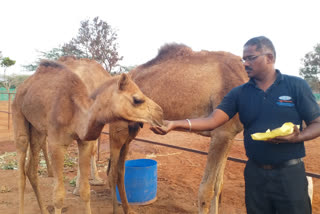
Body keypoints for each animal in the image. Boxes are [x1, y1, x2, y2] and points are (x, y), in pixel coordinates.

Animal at [12, 59, 162, 214]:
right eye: (137, 99)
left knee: (31, 169)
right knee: (21, 171)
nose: (160, 113)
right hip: (18, 113)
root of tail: (23, 86)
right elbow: (58, 196)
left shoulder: (84, 142)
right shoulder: (56, 145)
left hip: (37, 130)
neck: (75, 113)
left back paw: (43, 210)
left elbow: (85, 191)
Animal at [109, 44, 249, 214]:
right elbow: (206, 190)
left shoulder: (229, 136)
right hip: (118, 127)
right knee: (112, 172)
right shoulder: (221, 133)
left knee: (120, 170)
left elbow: (218, 186)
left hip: (131, 128)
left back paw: (128, 209)